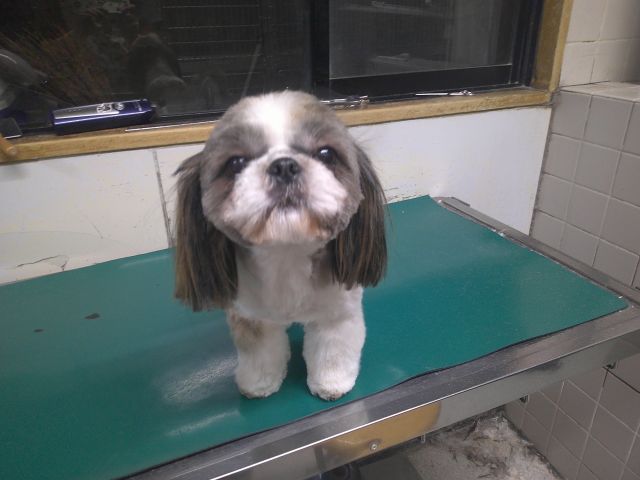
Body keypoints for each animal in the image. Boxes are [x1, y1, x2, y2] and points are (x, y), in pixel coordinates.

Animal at [173, 91, 387, 401]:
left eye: (326, 154)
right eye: (235, 163)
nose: (284, 166)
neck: (287, 255)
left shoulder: (337, 312)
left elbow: (333, 349)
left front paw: (331, 383)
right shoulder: (250, 315)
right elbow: (260, 352)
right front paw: (259, 383)